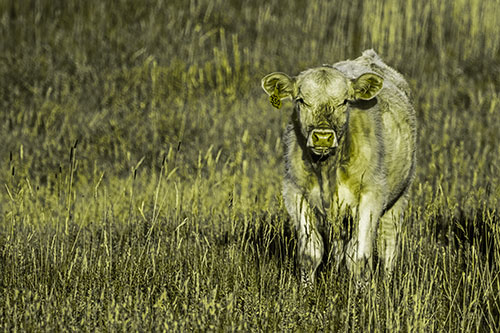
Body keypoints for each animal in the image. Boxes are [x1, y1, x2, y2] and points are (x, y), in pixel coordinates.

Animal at [260, 50, 416, 284]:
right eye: (301, 100)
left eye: (344, 101)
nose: (323, 137)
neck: (326, 170)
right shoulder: (295, 193)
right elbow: (310, 253)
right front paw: (306, 289)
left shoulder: (371, 195)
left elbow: (359, 257)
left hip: (401, 195)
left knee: (388, 244)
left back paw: (388, 282)